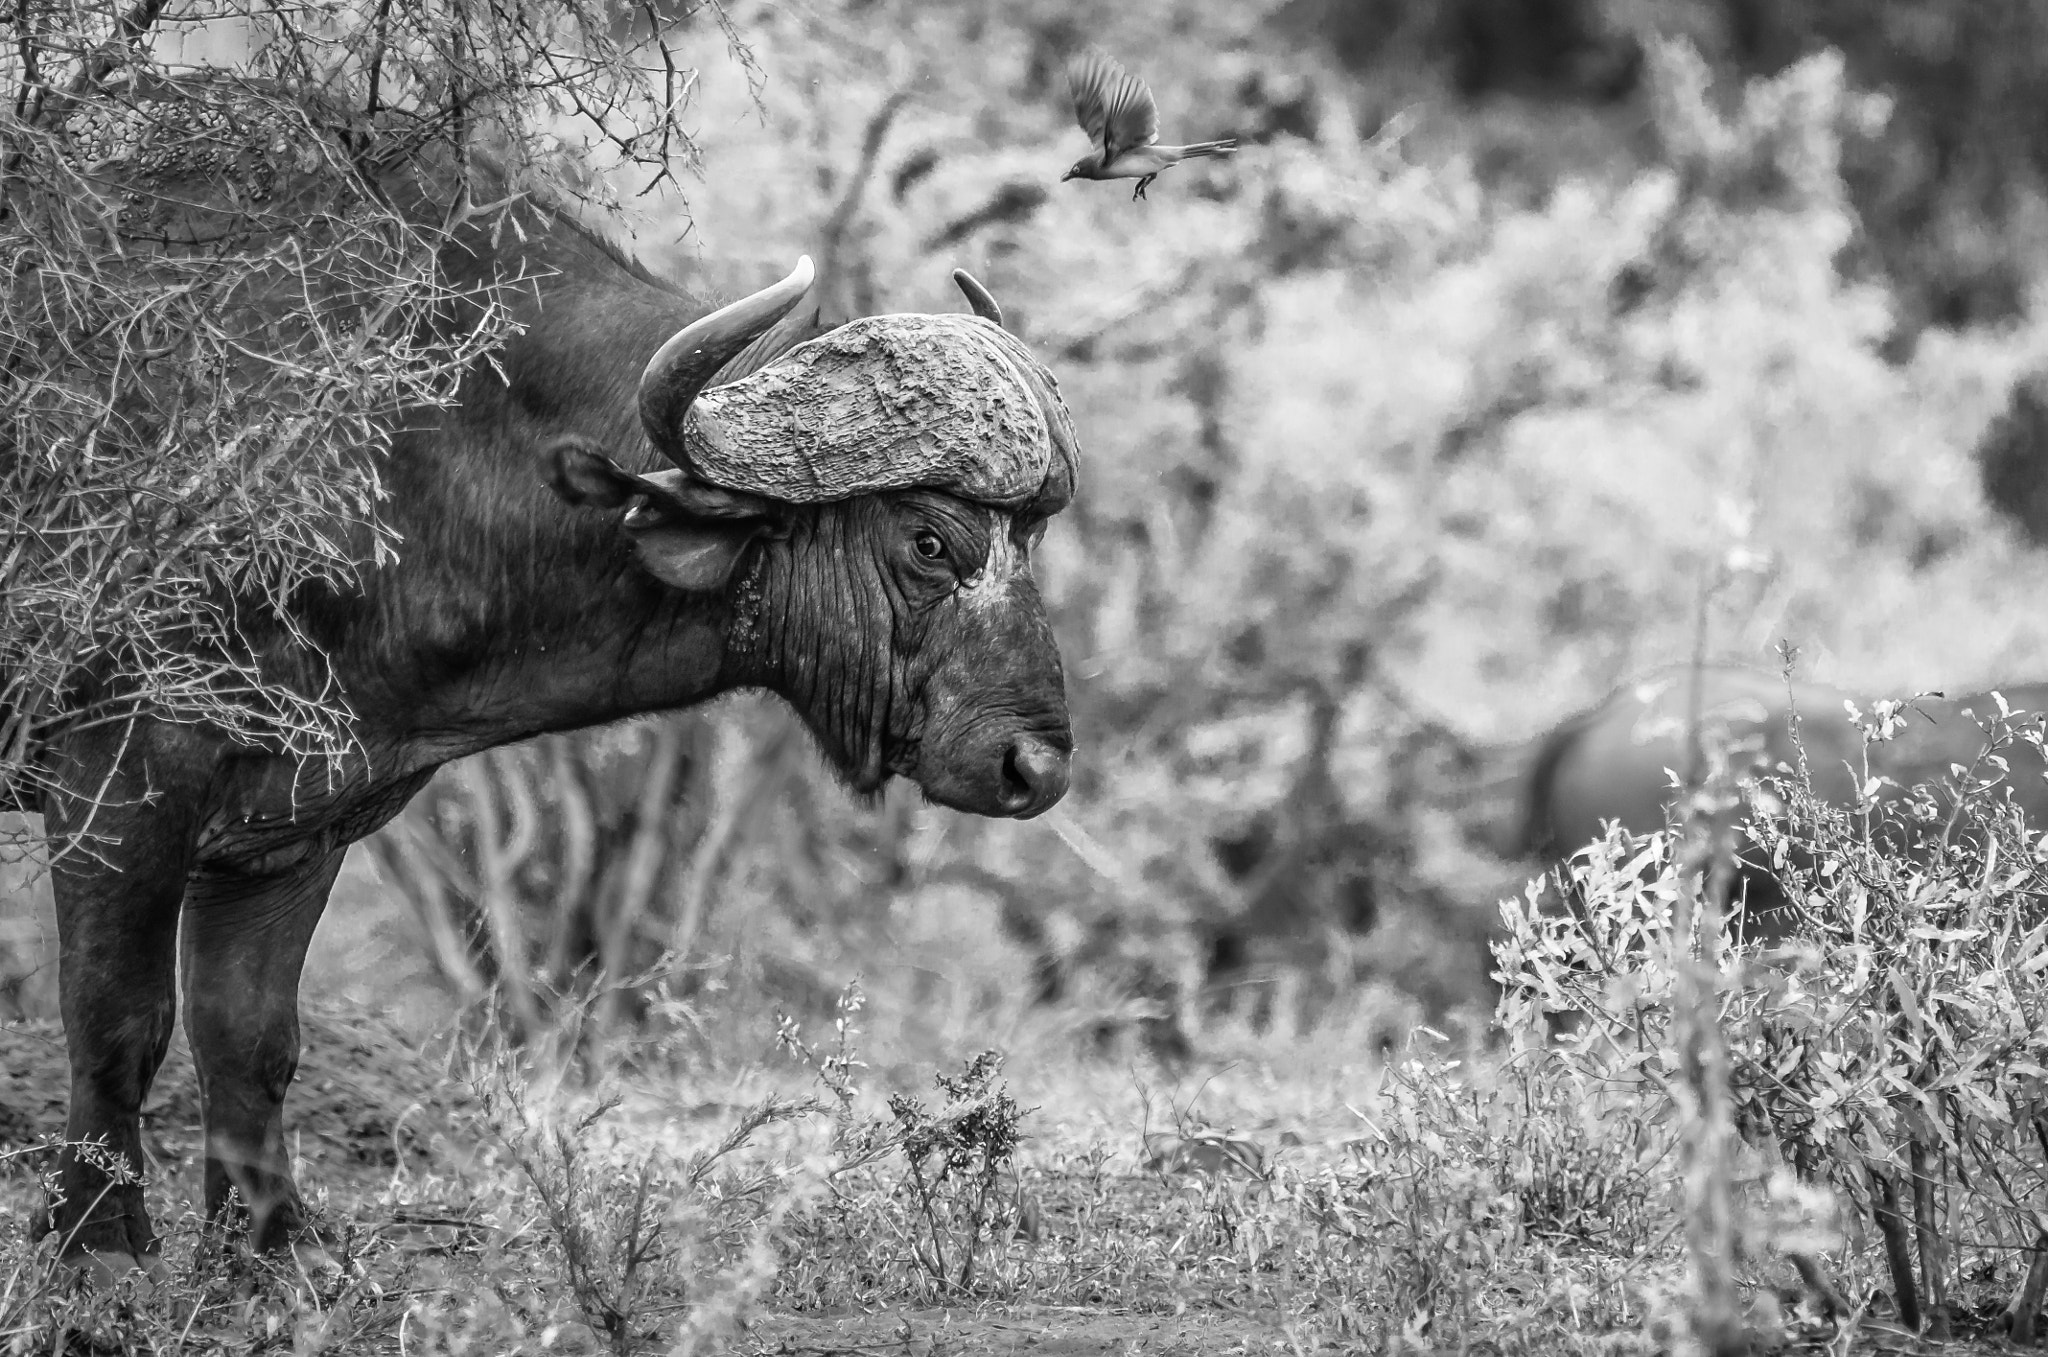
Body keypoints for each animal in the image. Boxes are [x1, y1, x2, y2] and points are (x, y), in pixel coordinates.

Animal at [10, 201, 1083, 1276]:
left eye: (1028, 539)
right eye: (929, 541)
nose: (1035, 767)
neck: (422, 440)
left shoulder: (291, 825)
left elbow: (250, 1037)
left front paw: (272, 1250)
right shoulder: (121, 771)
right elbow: (116, 1017)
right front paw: (96, 1240)